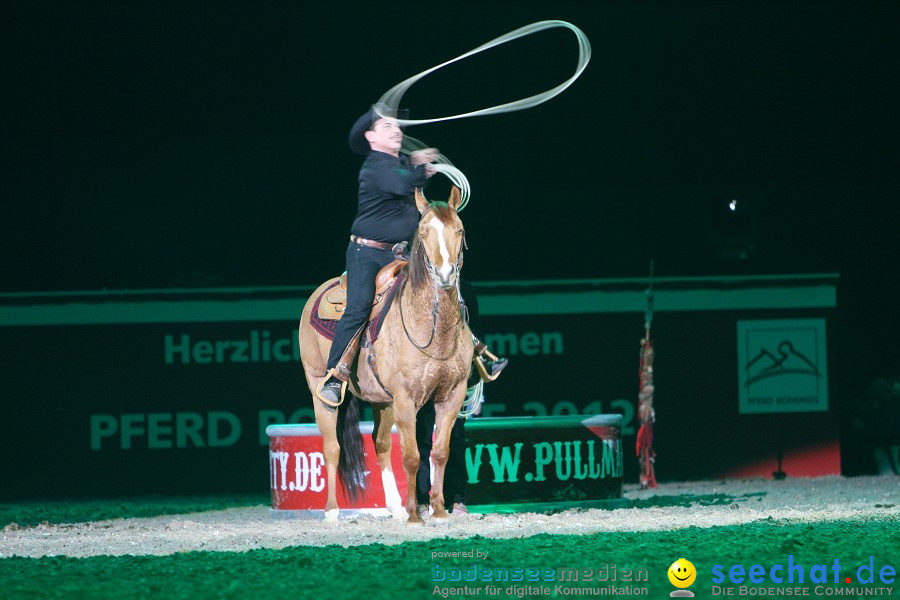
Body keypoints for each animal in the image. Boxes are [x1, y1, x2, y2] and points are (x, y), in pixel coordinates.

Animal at [298, 185, 474, 524]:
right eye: (424, 231)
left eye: (459, 230)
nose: (446, 274)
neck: (433, 331)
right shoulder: (406, 398)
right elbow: (412, 456)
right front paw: (416, 515)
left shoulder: (451, 395)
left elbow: (439, 452)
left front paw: (438, 511)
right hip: (318, 390)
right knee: (331, 447)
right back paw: (332, 512)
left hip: (383, 401)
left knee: (379, 445)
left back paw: (393, 506)